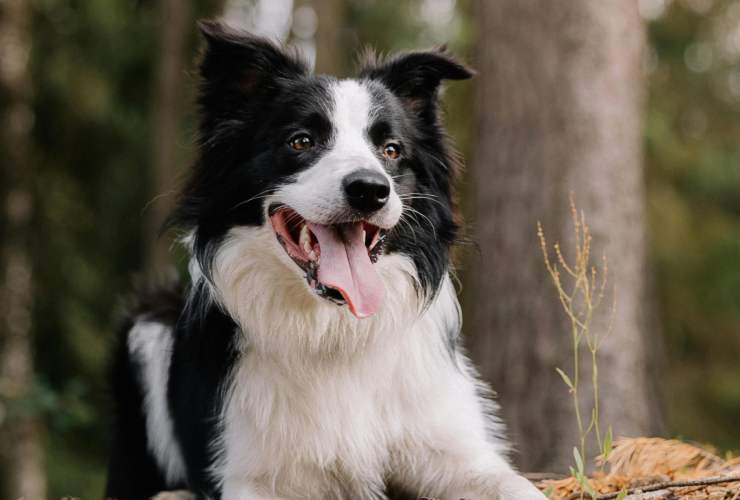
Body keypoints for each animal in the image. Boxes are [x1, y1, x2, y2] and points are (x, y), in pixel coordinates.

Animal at [105, 20, 544, 500]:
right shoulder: (250, 475)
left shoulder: (458, 451)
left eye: (391, 150)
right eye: (301, 141)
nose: (370, 189)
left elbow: (520, 486)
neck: (335, 330)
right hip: (147, 321)